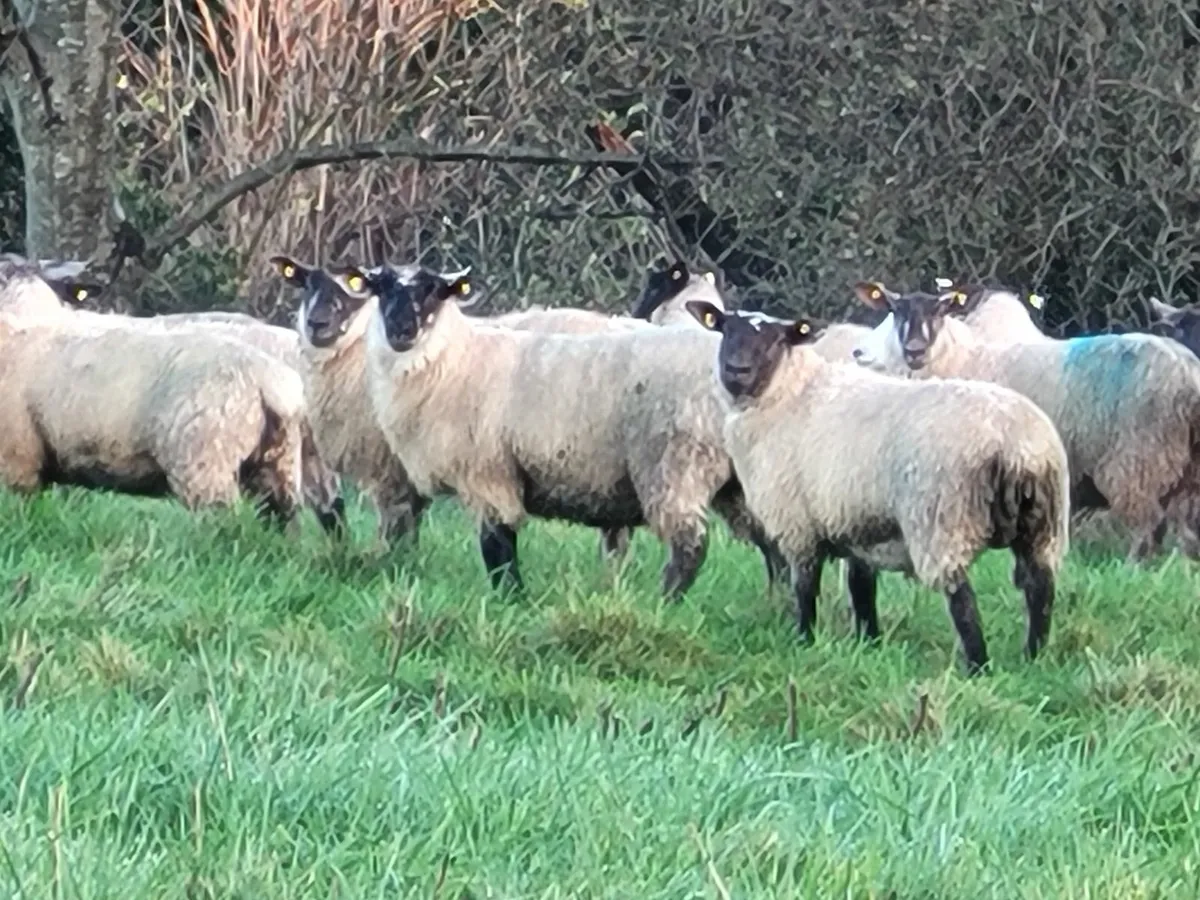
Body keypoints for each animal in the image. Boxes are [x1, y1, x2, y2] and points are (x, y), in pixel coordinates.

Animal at [359, 263, 771, 597]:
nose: (401, 330)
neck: (454, 360)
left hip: (676, 467)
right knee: (774, 539)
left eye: (434, 291)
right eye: (382, 289)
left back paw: (665, 604)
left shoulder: (488, 473)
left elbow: (498, 548)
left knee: (690, 548)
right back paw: (776, 605)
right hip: (743, 477)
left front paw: (512, 600)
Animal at [683, 299, 1070, 674]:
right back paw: (1033, 660)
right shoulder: (856, 524)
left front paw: (804, 639)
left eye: (777, 340)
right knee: (1040, 589)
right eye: (725, 329)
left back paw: (978, 668)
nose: (736, 370)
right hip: (1043, 525)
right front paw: (869, 643)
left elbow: (805, 588)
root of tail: (1016, 443)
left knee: (963, 602)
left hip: (942, 521)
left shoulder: (800, 525)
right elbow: (862, 590)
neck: (790, 394)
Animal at [850, 281, 1200, 563]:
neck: (958, 360)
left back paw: (1133, 568)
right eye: (895, 310)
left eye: (940, 311)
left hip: (1138, 461)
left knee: (1149, 525)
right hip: (1186, 472)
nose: (915, 351)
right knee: (1184, 532)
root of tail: (1187, 372)